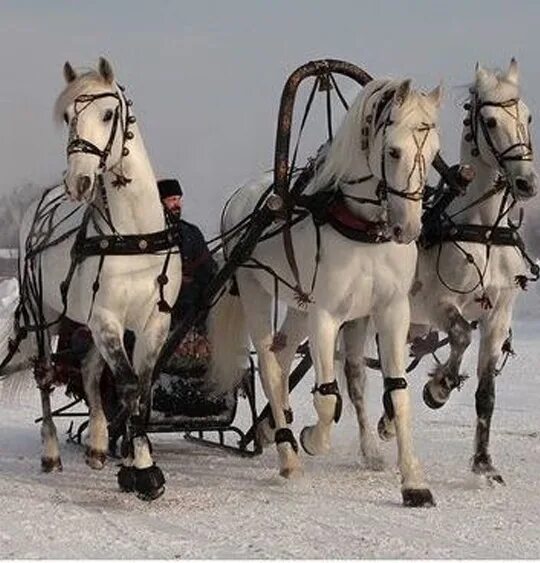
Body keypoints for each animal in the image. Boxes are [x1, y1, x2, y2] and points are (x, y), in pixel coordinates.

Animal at [208, 76, 442, 506]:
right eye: (393, 150)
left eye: (434, 152)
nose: (408, 229)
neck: (363, 230)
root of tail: (239, 197)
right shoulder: (326, 313)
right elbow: (327, 396)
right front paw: (312, 439)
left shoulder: (392, 310)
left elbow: (397, 394)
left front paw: (413, 482)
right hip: (255, 288)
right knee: (269, 366)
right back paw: (288, 454)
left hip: (298, 302)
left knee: (281, 355)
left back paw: (274, 430)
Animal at [410, 58, 536, 484]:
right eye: (491, 121)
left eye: (527, 116)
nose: (527, 182)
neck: (484, 232)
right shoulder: (438, 303)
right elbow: (462, 335)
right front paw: (439, 387)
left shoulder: (499, 314)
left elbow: (487, 392)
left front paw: (484, 463)